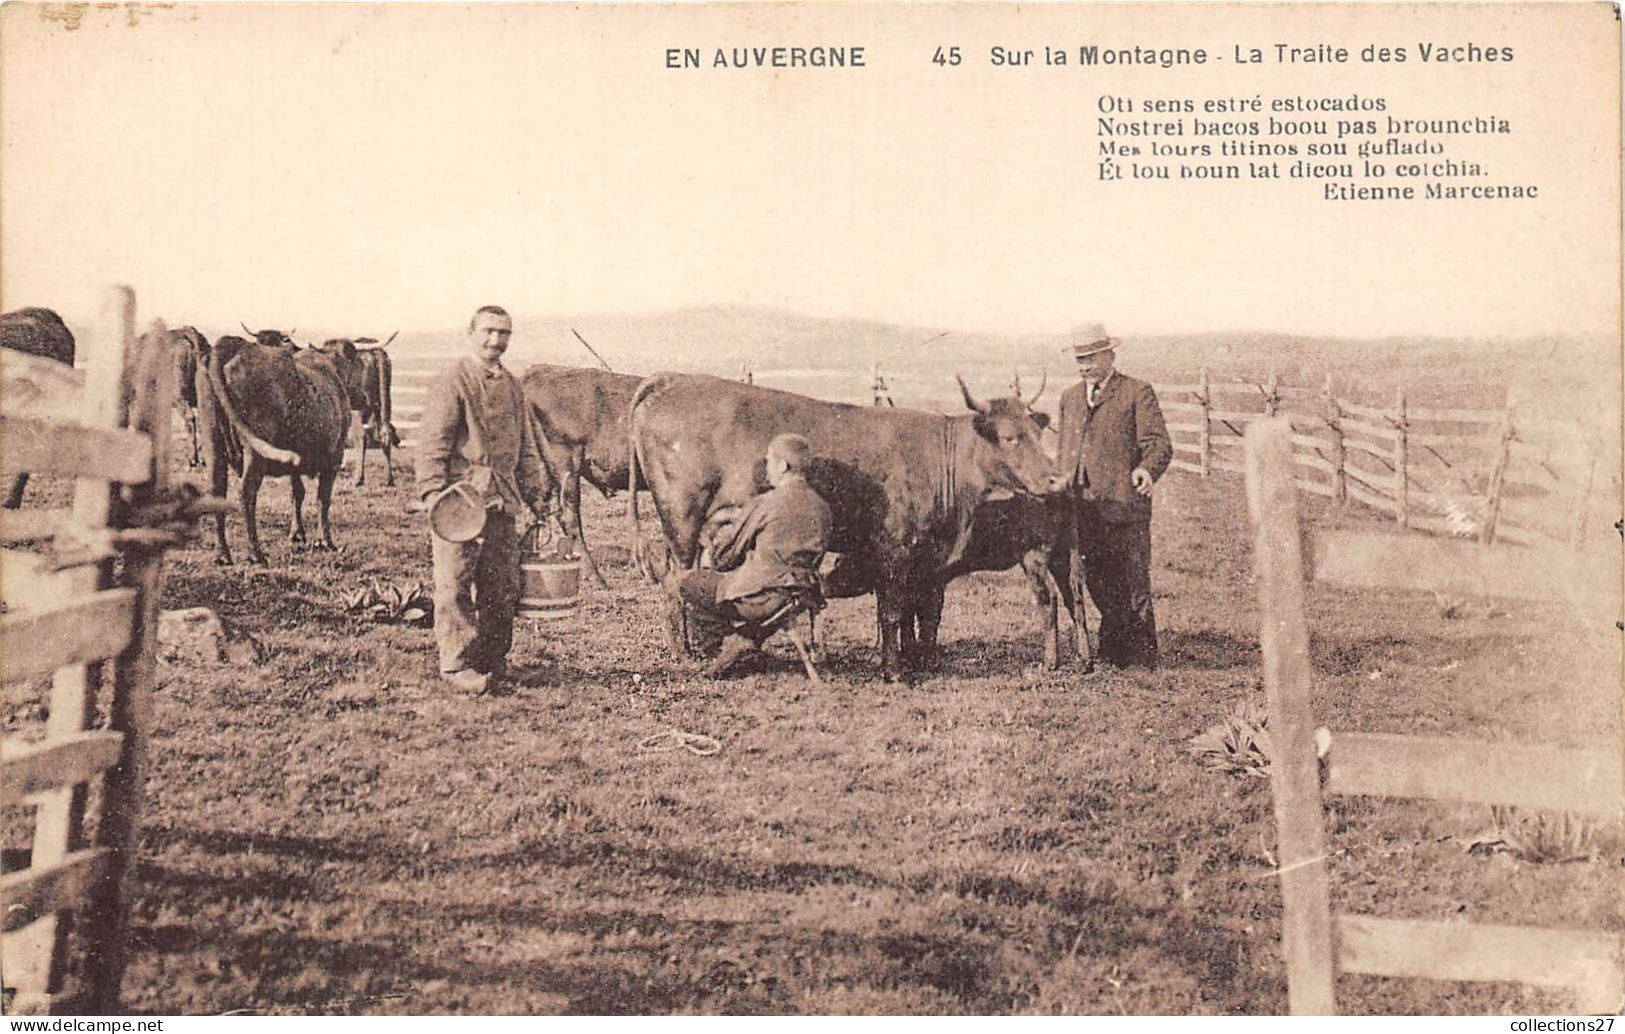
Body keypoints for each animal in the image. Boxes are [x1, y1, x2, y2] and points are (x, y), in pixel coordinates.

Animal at [196, 333, 365, 562]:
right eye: (360, 365)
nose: (365, 398)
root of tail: (233, 344)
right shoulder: (334, 457)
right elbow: (323, 498)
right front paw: (325, 541)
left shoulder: (296, 461)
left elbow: (297, 493)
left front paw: (297, 534)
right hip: (254, 452)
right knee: (247, 492)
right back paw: (255, 552)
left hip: (213, 443)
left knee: (216, 490)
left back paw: (222, 554)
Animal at [354, 333, 401, 490]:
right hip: (385, 399)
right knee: (384, 432)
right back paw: (389, 479)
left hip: (362, 406)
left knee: (362, 436)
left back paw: (358, 479)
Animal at [620, 372, 1053, 679]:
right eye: (1010, 437)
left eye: (1038, 431)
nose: (1054, 478)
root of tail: (671, 379)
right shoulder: (892, 549)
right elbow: (892, 610)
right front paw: (893, 670)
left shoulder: (928, 558)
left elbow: (925, 611)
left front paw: (923, 660)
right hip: (681, 516)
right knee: (675, 580)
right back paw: (685, 652)